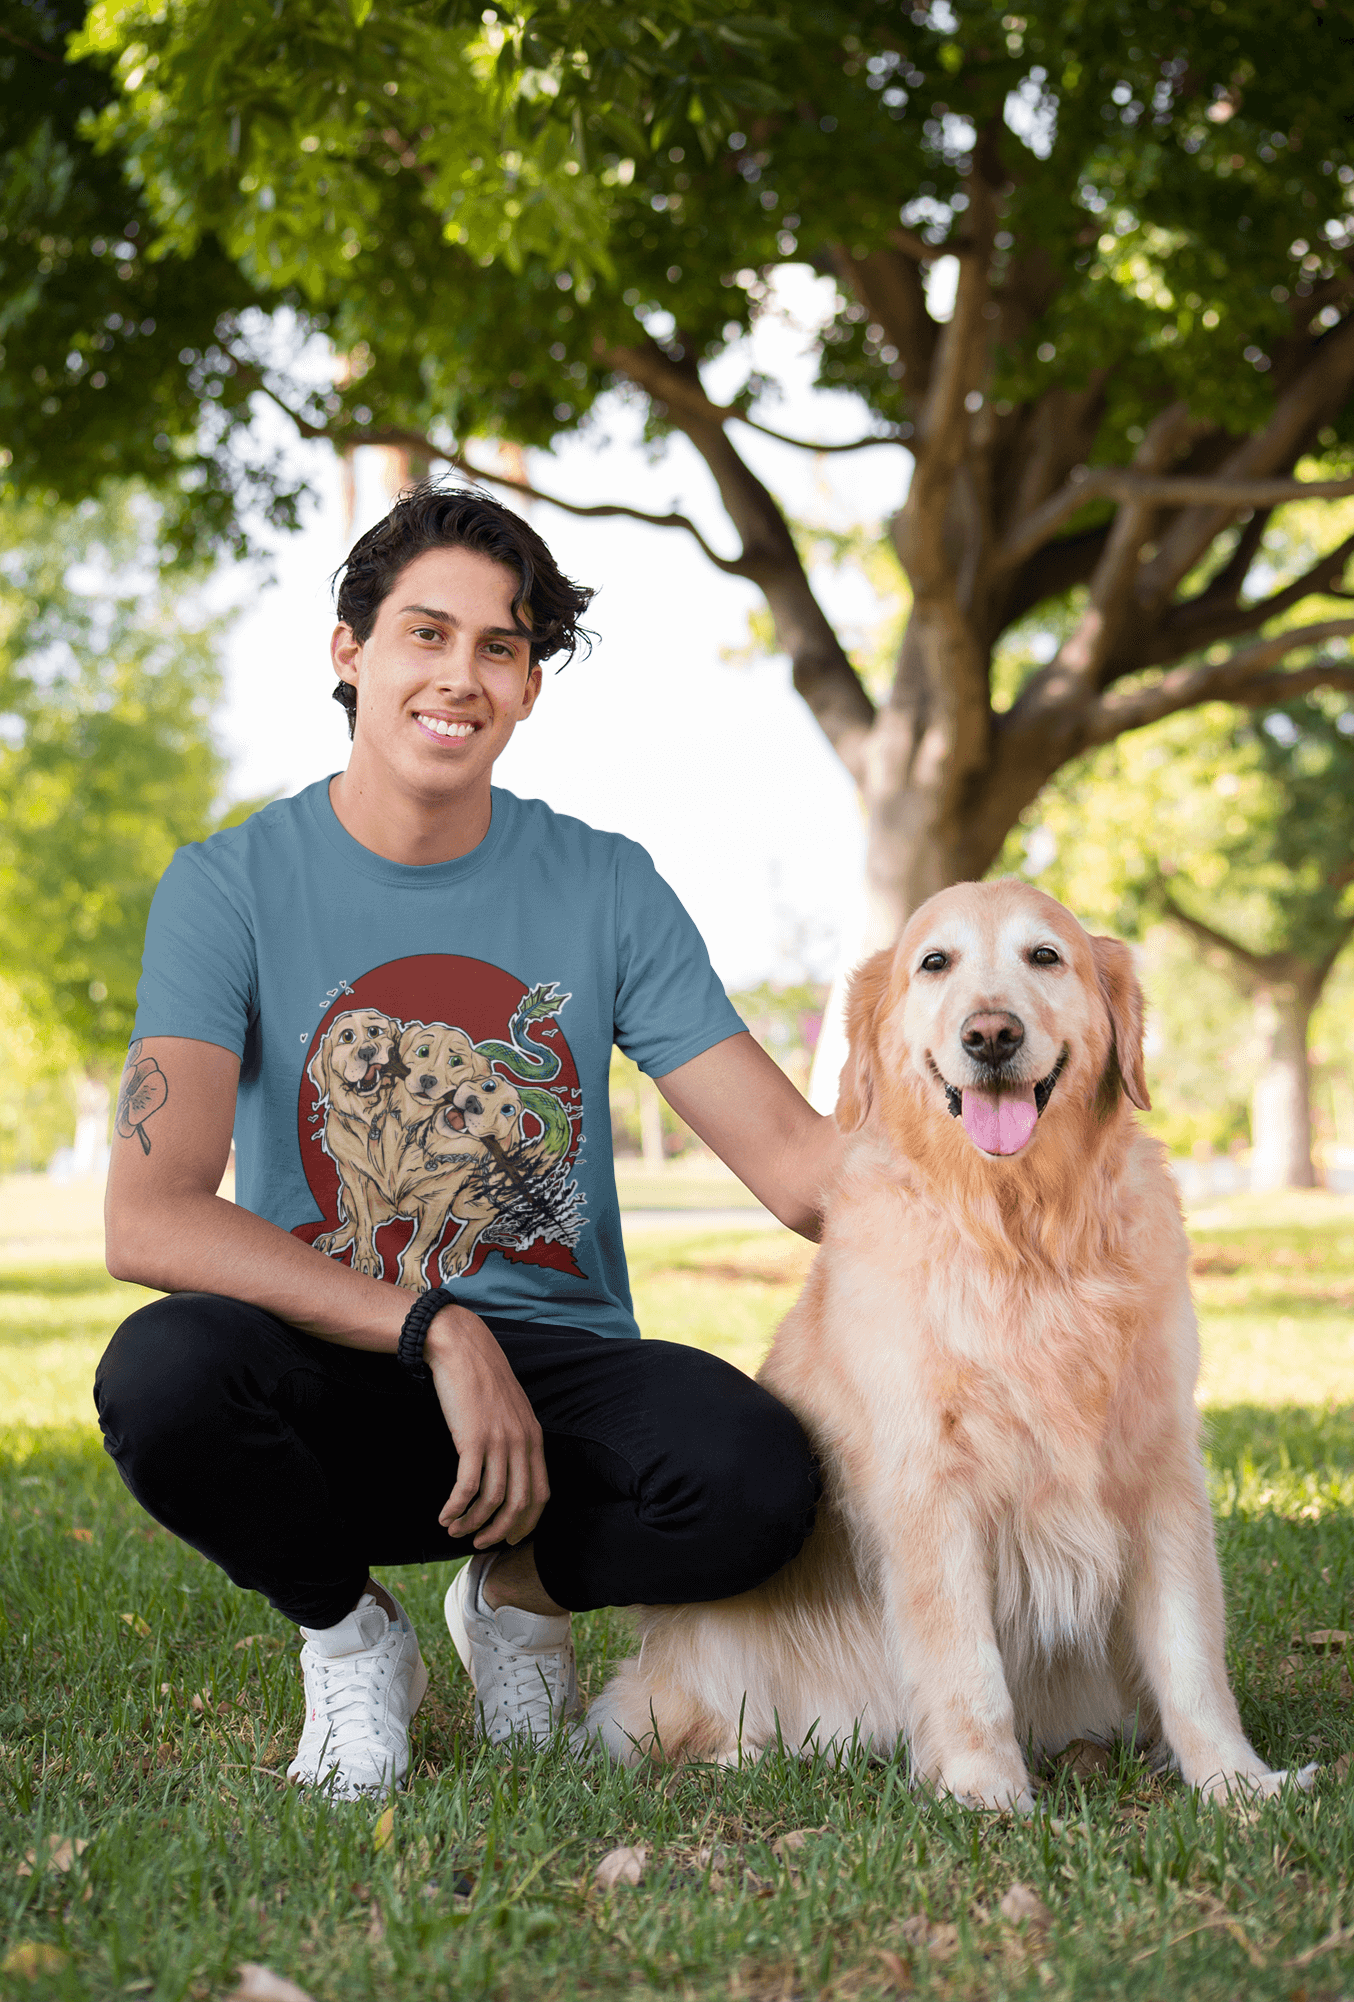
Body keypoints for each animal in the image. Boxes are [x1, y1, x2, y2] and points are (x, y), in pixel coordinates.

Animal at [588, 884, 1313, 1809]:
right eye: (935, 963)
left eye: (1046, 956)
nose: (991, 1034)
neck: (1021, 1234)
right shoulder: (929, 1483)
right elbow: (964, 1663)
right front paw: (984, 1792)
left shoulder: (1161, 1469)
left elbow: (1190, 1655)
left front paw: (1236, 1783)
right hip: (708, 1654)